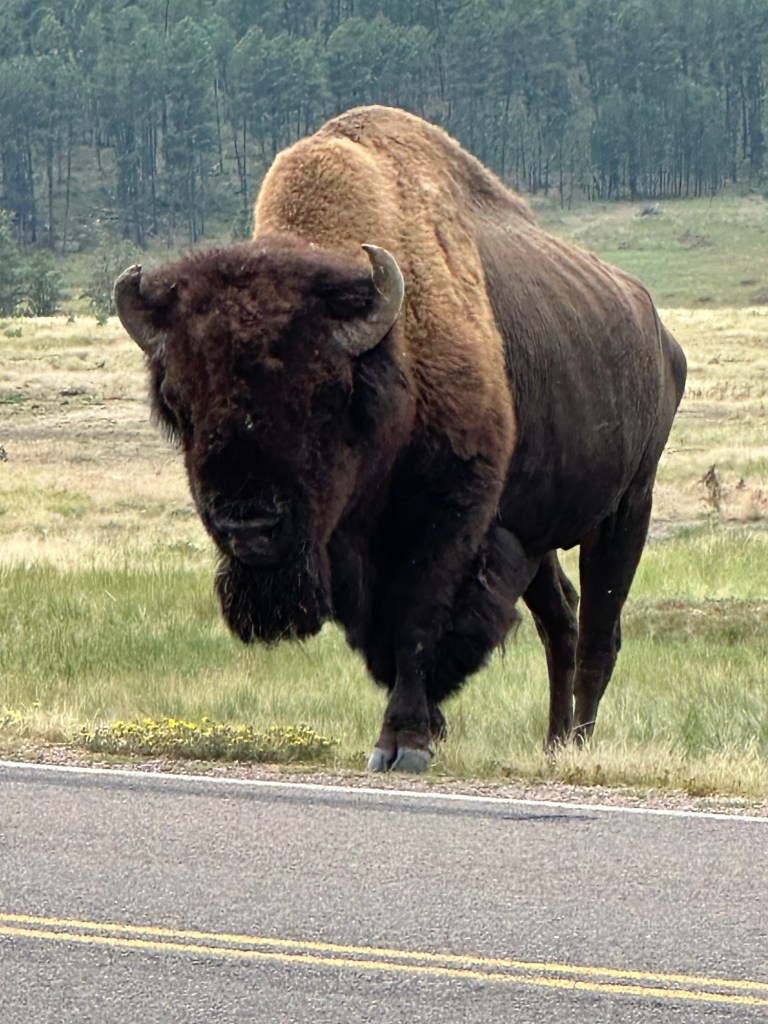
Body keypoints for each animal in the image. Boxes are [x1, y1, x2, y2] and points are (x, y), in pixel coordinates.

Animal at [115, 105, 686, 772]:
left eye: (326, 397)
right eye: (178, 403)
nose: (249, 527)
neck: (389, 355)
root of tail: (658, 333)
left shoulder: (450, 521)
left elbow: (415, 623)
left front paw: (405, 743)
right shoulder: (350, 548)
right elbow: (383, 643)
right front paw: (423, 729)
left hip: (627, 508)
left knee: (599, 630)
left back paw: (581, 747)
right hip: (538, 530)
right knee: (561, 622)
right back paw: (554, 743)